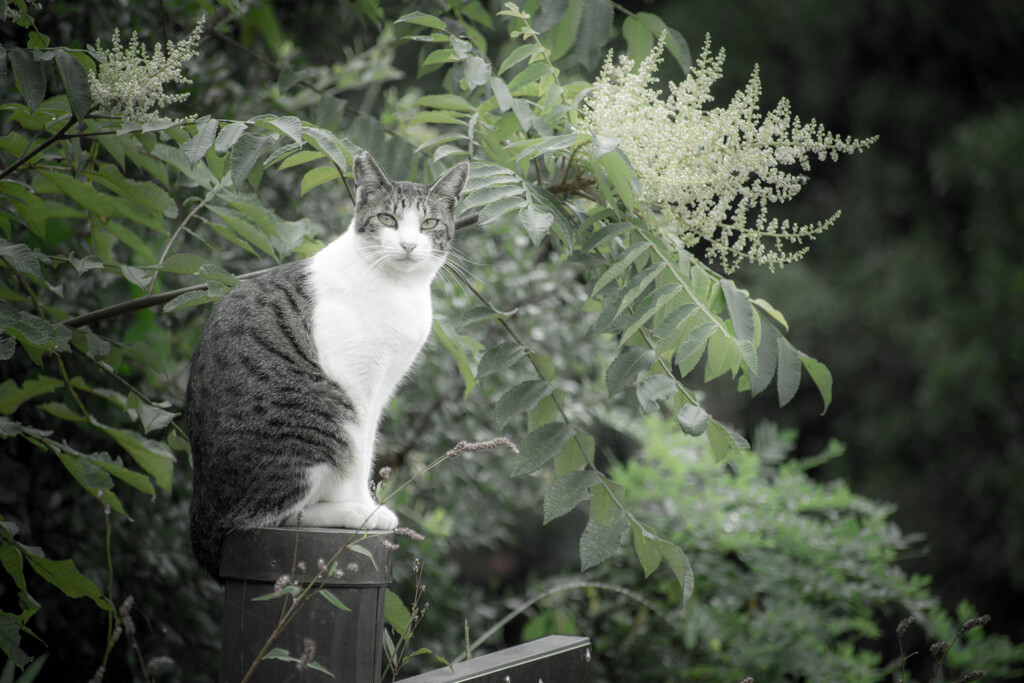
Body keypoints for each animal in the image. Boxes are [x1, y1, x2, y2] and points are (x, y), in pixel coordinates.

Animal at [187, 152, 468, 581]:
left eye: (429, 224)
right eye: (388, 219)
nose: (407, 244)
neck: (398, 289)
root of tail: (201, 512)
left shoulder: (382, 387)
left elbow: (369, 446)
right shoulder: (356, 386)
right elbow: (360, 455)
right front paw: (366, 510)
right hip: (321, 418)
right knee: (266, 516)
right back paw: (349, 513)